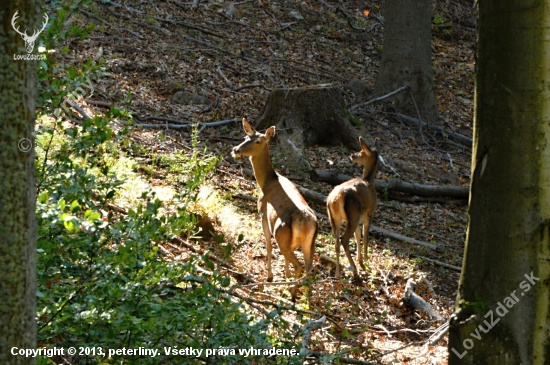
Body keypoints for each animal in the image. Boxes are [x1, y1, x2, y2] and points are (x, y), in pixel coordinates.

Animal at [233, 118, 320, 294]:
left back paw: (291, 292)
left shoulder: (263, 214)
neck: (266, 182)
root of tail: (305, 222)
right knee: (309, 267)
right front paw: (285, 274)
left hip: (281, 235)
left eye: (258, 141)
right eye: (245, 137)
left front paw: (270, 277)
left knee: (299, 265)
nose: (235, 150)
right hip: (310, 242)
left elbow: (267, 245)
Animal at [328, 136, 380, 278]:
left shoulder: (359, 217)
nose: (352, 155)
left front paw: (360, 260)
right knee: (344, 239)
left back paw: (338, 273)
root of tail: (333, 200)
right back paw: (355, 270)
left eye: (362, 152)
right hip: (353, 214)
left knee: (336, 241)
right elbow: (365, 237)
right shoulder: (369, 213)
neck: (369, 181)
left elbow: (358, 236)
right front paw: (366, 261)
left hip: (335, 218)